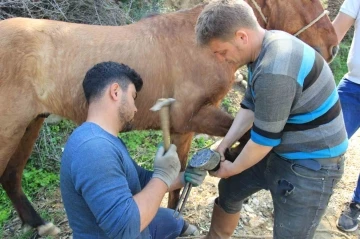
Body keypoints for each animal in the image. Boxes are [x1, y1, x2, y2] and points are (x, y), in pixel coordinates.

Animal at [0, 0, 338, 235]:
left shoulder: (182, 129)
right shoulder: (193, 116)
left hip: (31, 124)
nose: (333, 46)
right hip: (10, 130)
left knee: (11, 176)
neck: (195, 45)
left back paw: (38, 224)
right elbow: (243, 133)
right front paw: (232, 155)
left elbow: (179, 181)